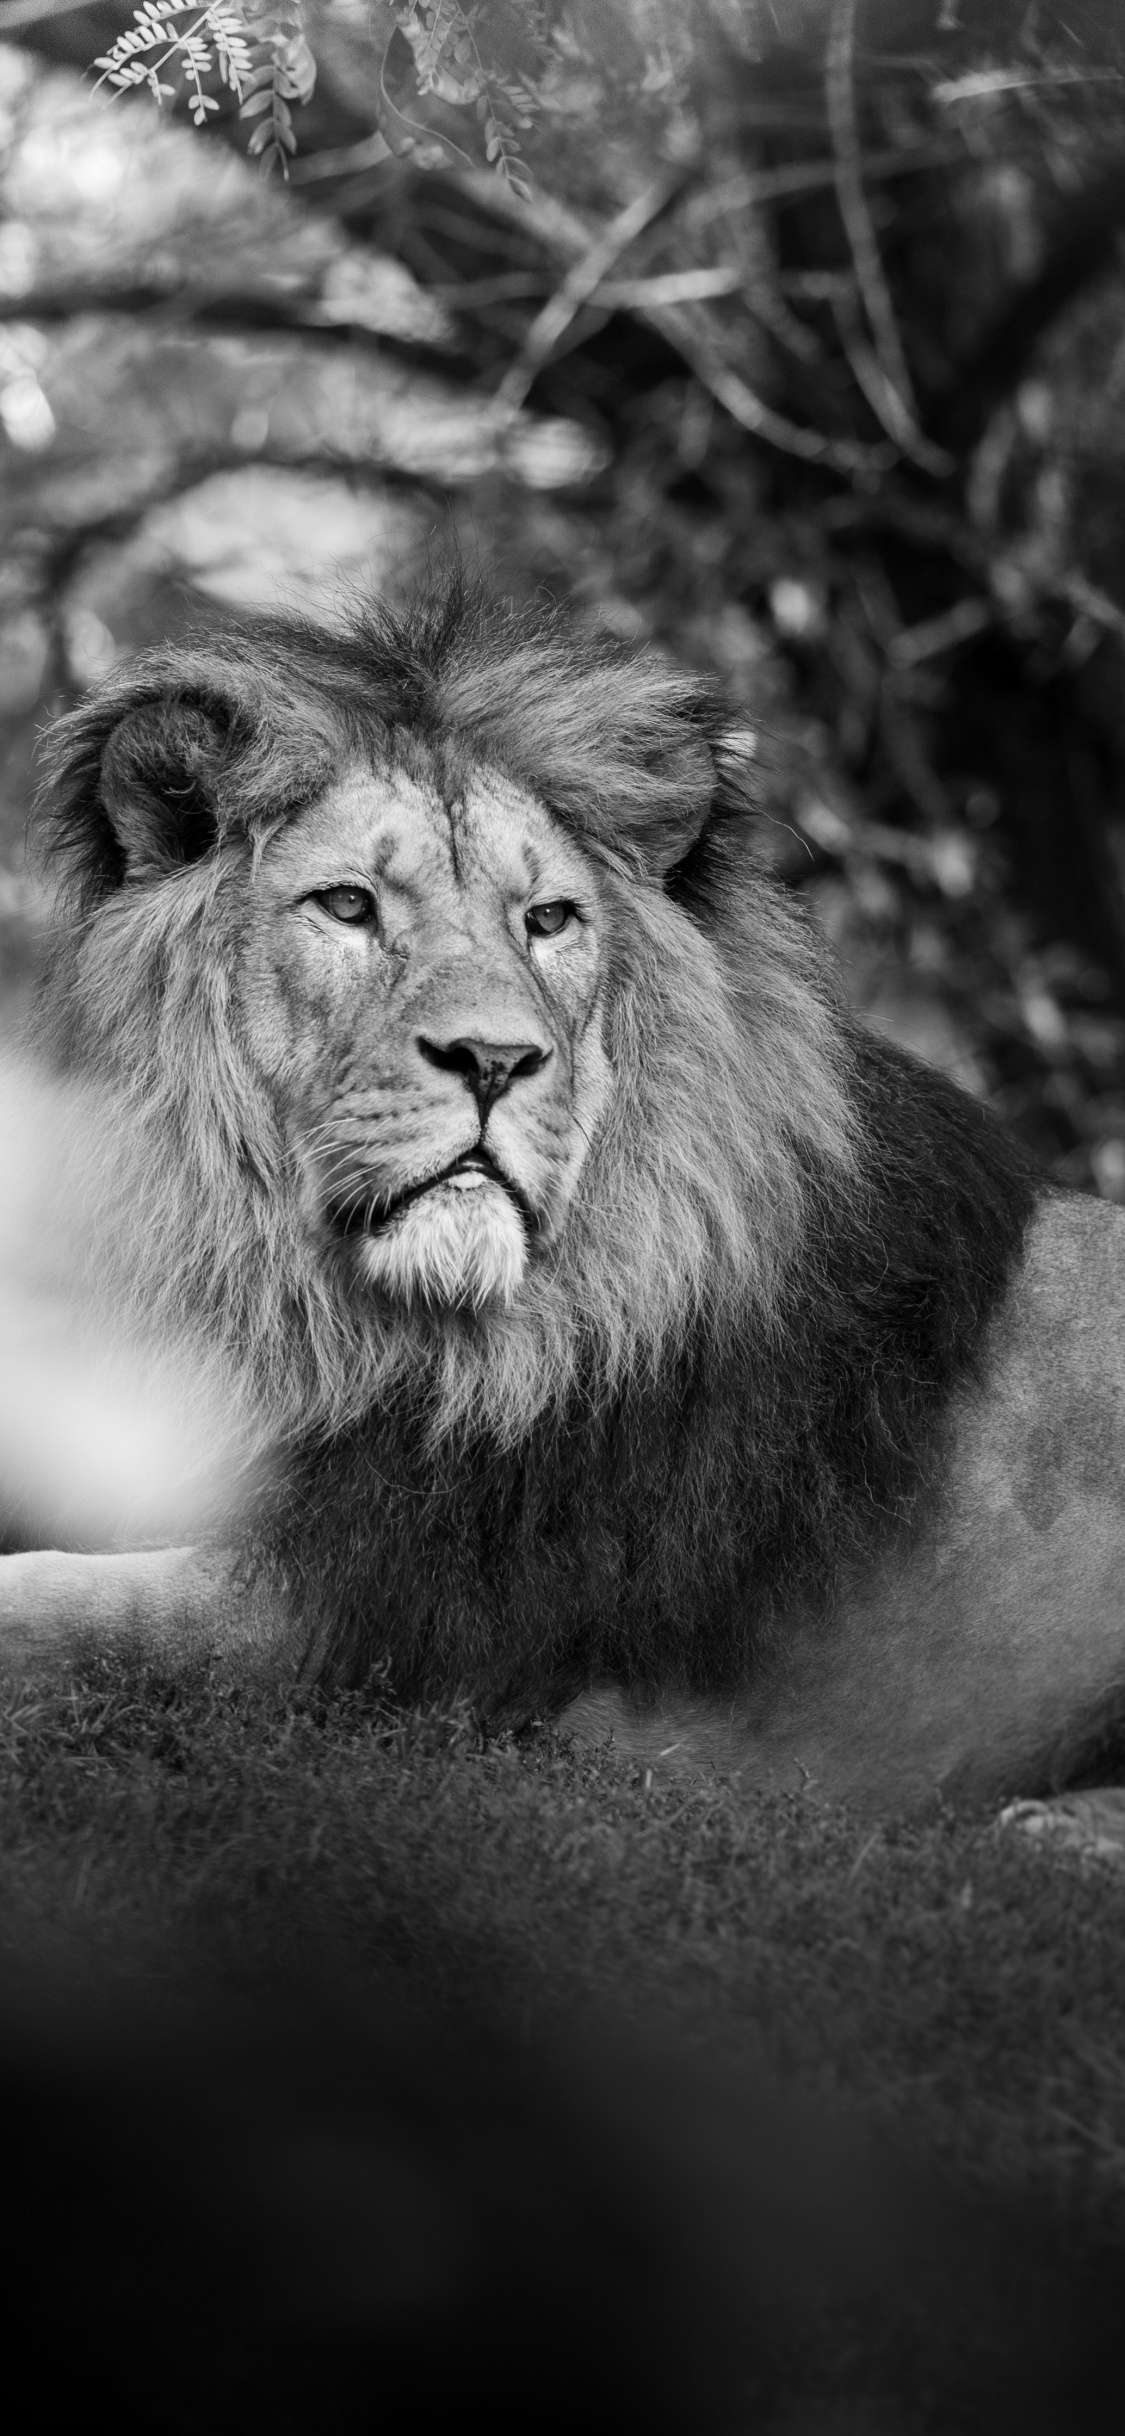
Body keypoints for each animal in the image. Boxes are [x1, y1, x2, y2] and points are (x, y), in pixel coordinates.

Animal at [4, 575, 1125, 1819]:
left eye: (546, 921)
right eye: (347, 907)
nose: (494, 1060)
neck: (323, 1317)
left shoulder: (364, 1624)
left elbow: (70, 1623)